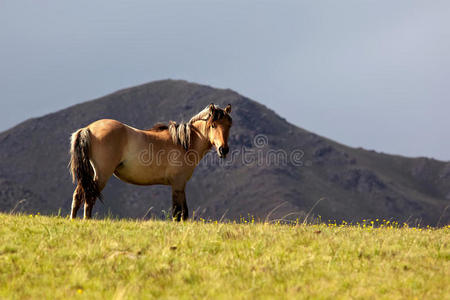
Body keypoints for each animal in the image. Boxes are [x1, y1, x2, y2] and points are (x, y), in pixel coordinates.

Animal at [69, 103, 236, 220]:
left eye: (229, 125)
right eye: (213, 125)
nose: (223, 150)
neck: (185, 143)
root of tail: (88, 129)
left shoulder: (180, 185)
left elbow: (184, 214)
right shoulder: (178, 184)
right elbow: (178, 213)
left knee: (78, 195)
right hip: (101, 175)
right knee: (89, 197)